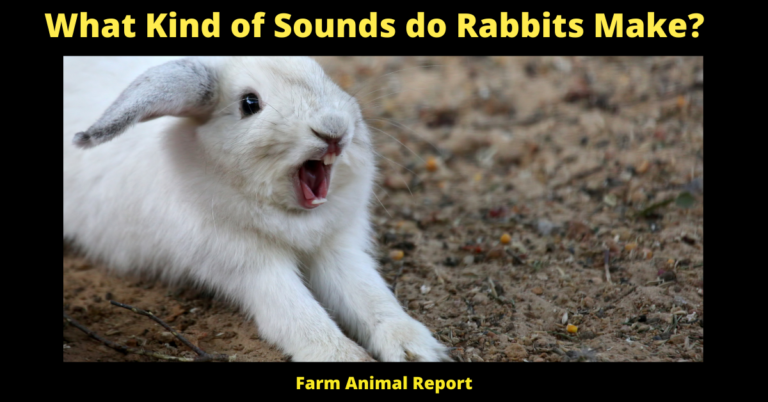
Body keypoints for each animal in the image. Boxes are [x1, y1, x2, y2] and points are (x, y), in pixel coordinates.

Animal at [63, 56, 450, 362]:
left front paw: (415, 350)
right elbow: (298, 313)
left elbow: (370, 296)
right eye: (249, 103)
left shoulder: (339, 250)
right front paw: (344, 358)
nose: (334, 130)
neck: (294, 217)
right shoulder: (252, 267)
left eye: (321, 73)